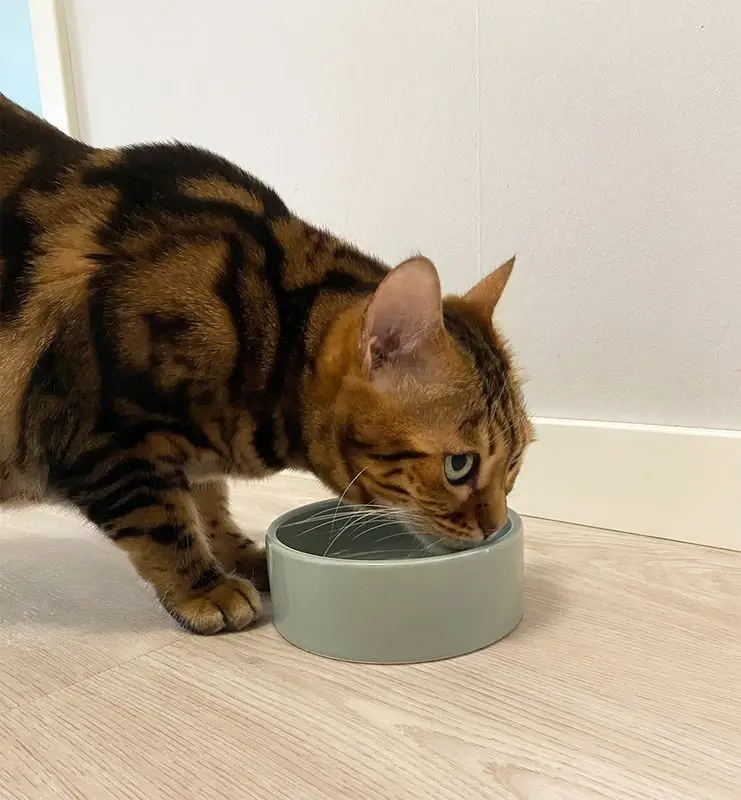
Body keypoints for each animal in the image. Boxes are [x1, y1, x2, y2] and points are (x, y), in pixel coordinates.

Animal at [0, 94, 533, 634]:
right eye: (459, 466)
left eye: (514, 461)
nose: (493, 527)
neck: (271, 330)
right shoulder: (101, 442)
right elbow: (161, 521)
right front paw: (203, 587)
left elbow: (209, 500)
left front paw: (241, 555)